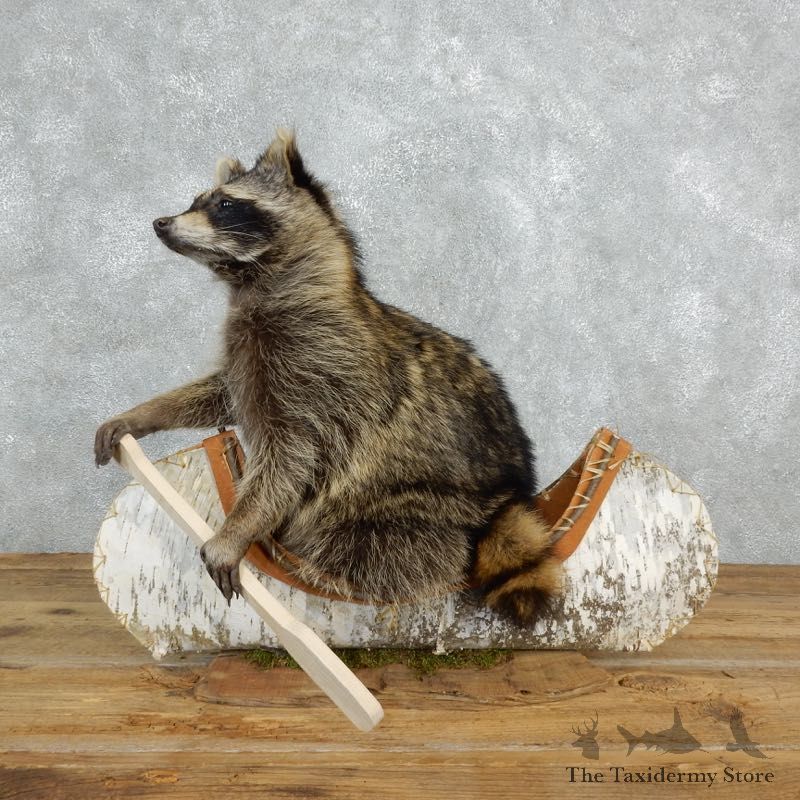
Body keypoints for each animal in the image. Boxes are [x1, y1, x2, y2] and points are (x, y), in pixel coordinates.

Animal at [94, 129, 562, 626]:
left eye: (225, 204)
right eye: (196, 201)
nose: (161, 223)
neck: (258, 282)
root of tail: (511, 494)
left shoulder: (323, 369)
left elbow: (291, 458)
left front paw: (237, 530)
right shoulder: (252, 358)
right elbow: (220, 393)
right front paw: (146, 413)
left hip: (423, 503)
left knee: (381, 548)